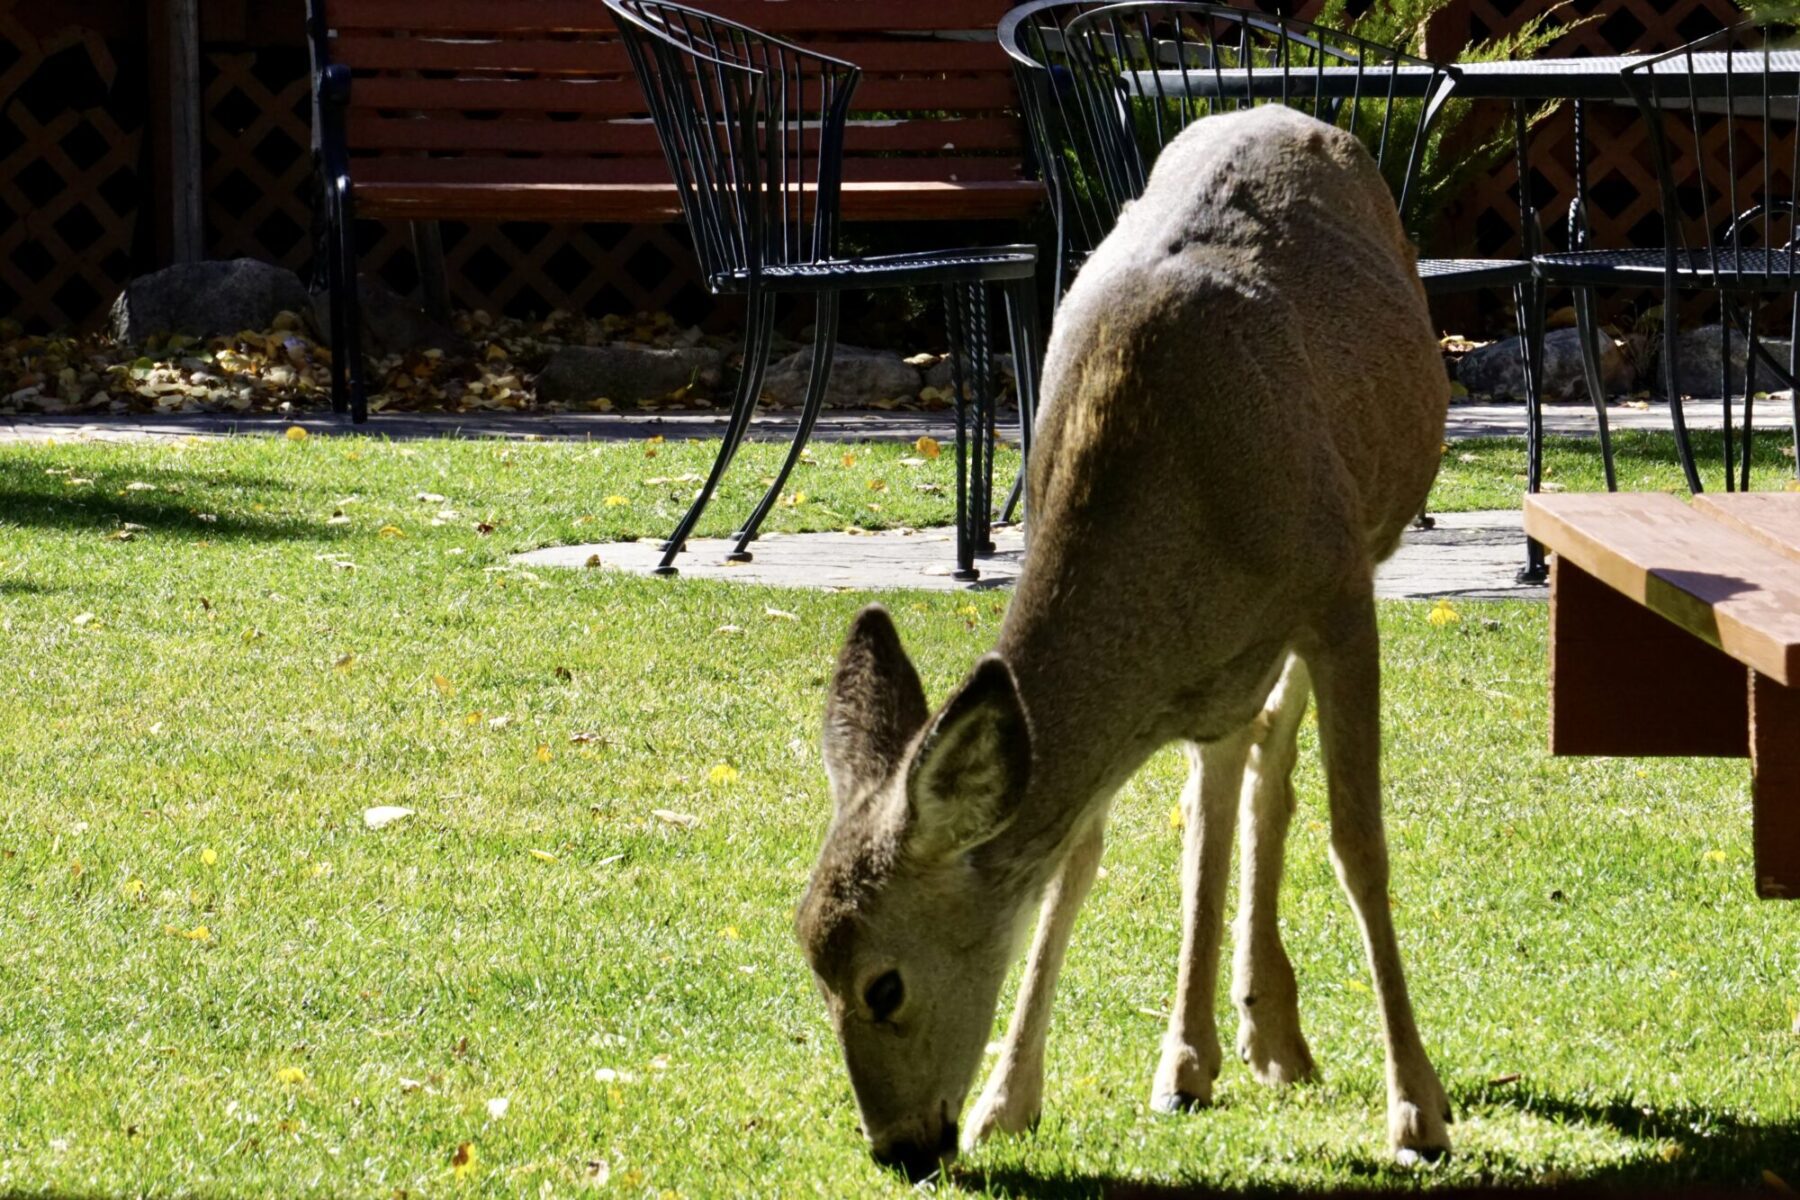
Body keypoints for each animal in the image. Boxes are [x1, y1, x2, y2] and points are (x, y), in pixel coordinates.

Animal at [795, 107, 1454, 1180]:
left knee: (1267, 776)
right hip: (1238, 660)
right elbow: (1082, 856)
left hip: (1350, 550)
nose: (899, 1148)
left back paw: (1268, 1041)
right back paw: (1206, 1053)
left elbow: (1359, 842)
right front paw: (1006, 1100)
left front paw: (1418, 1113)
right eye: (810, 966)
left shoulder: (1338, 587)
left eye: (882, 985)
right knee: (1219, 793)